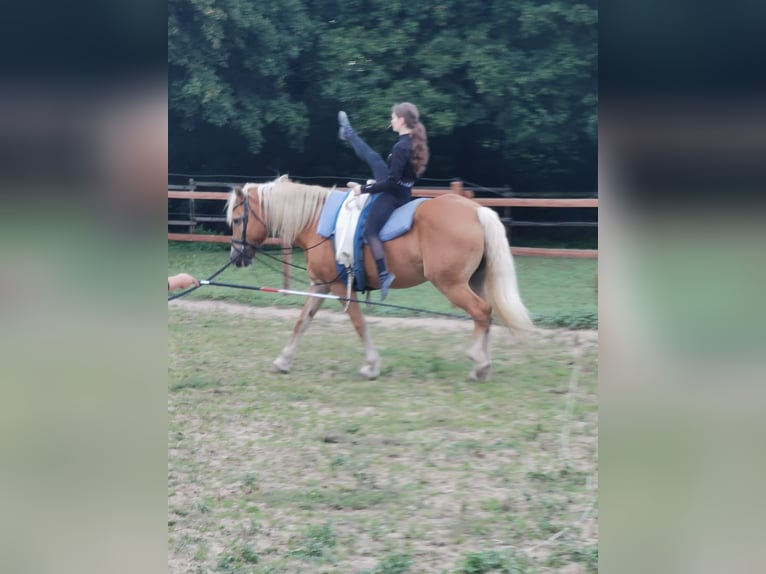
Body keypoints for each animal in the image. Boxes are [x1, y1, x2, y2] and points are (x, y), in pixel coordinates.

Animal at [225, 176, 532, 382]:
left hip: (452, 284)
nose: (236, 256)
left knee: (480, 311)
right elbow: (302, 321)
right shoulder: (321, 283)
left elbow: (359, 323)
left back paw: (478, 361)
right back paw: (483, 365)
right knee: (486, 314)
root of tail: (476, 211)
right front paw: (283, 360)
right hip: (474, 282)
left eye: (238, 220)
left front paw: (371, 366)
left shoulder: (339, 286)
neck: (317, 222)